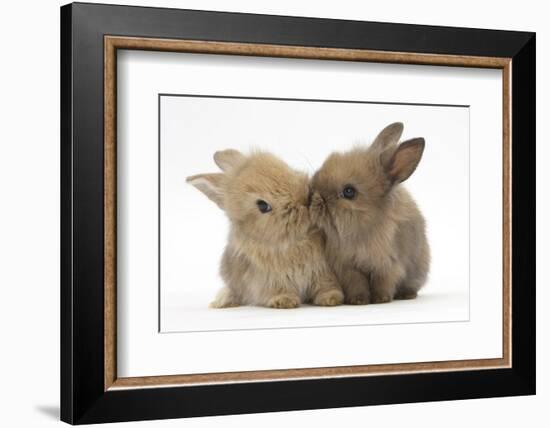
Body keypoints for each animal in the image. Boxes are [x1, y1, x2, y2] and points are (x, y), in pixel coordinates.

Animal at [189, 150, 344, 308]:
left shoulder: (322, 271)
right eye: (262, 206)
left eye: (287, 168)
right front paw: (284, 301)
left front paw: (331, 298)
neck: (295, 241)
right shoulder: (270, 279)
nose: (305, 200)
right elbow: (278, 290)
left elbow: (325, 285)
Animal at [310, 121, 432, 304]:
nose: (313, 196)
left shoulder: (388, 265)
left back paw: (406, 295)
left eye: (349, 192)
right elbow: (357, 284)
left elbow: (383, 283)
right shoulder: (348, 267)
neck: (363, 228)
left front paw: (381, 299)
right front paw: (358, 300)